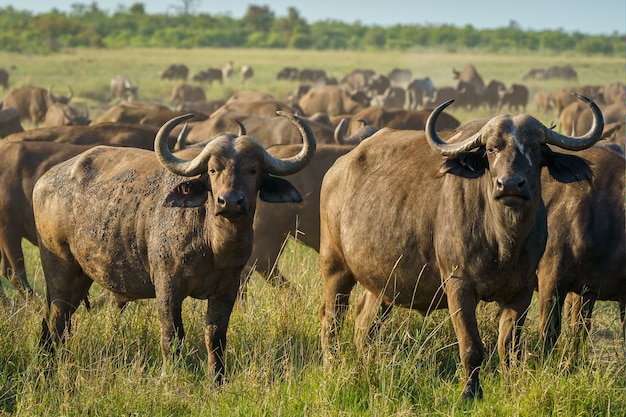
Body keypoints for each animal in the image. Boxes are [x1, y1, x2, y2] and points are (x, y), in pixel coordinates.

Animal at [33, 110, 314, 384]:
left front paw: (218, 380)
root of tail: (44, 180)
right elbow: (173, 336)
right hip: (59, 269)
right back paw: (49, 368)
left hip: (82, 277)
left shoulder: (228, 289)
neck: (212, 245)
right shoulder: (168, 287)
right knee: (56, 318)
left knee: (55, 319)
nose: (230, 201)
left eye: (253, 170)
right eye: (213, 170)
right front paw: (172, 376)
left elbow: (215, 336)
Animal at [320, 92, 604, 398]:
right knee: (331, 318)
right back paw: (332, 365)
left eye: (534, 148)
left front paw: (509, 386)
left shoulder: (522, 291)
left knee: (364, 322)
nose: (510, 185)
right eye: (491, 149)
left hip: (383, 283)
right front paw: (470, 392)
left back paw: (367, 364)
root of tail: (336, 169)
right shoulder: (459, 287)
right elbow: (471, 347)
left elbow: (508, 348)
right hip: (335, 267)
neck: (503, 242)